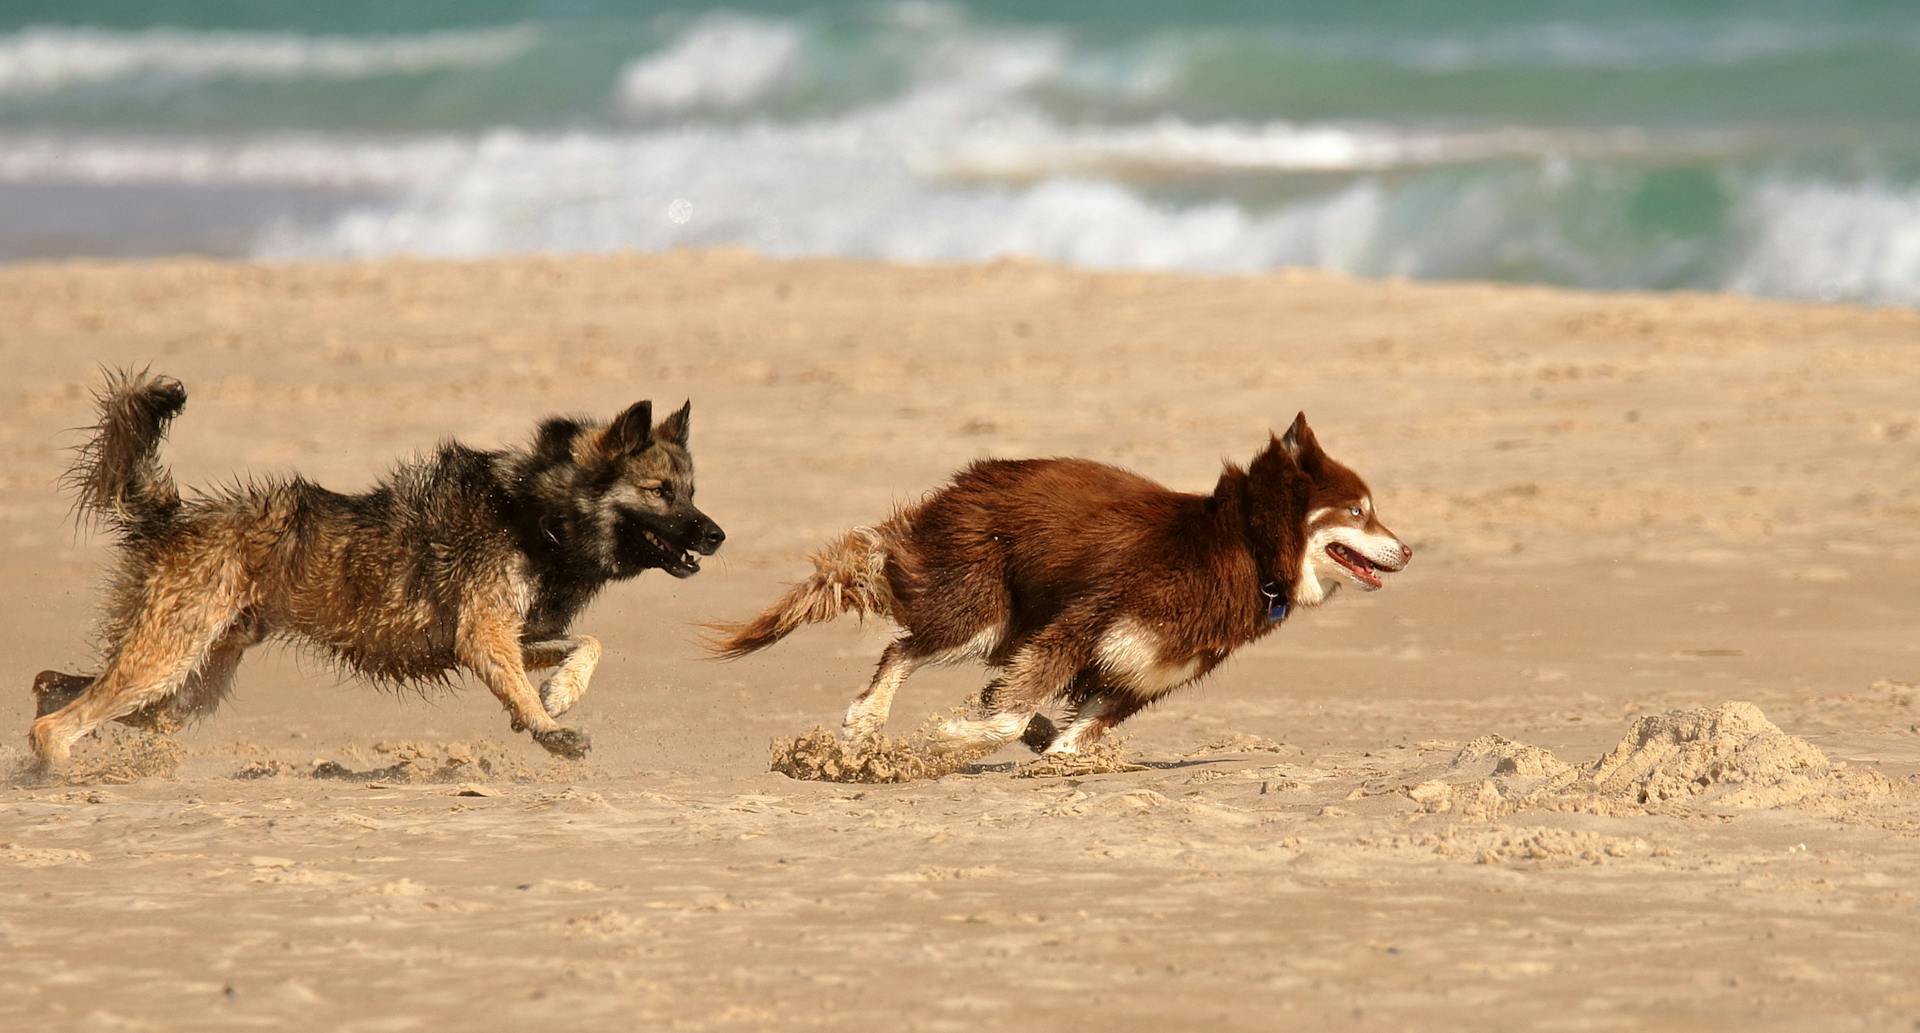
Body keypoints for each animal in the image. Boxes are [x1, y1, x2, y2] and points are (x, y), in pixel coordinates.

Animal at [33, 368, 721, 764]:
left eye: (691, 490)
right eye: (660, 491)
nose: (717, 535)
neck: (534, 513)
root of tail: (173, 517)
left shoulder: (506, 635)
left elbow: (587, 644)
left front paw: (560, 693)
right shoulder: (483, 637)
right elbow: (530, 685)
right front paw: (548, 727)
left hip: (185, 685)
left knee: (51, 685)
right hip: (168, 663)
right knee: (60, 720)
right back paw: (53, 770)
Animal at [706, 412, 1413, 756]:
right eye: (1359, 512)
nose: (1407, 549)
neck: (1246, 550)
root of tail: (966, 481)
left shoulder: (1138, 678)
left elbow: (1071, 737)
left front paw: (1052, 746)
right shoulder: (1080, 626)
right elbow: (1005, 713)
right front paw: (952, 737)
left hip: (1003, 622)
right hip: (982, 612)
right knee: (901, 649)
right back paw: (867, 719)